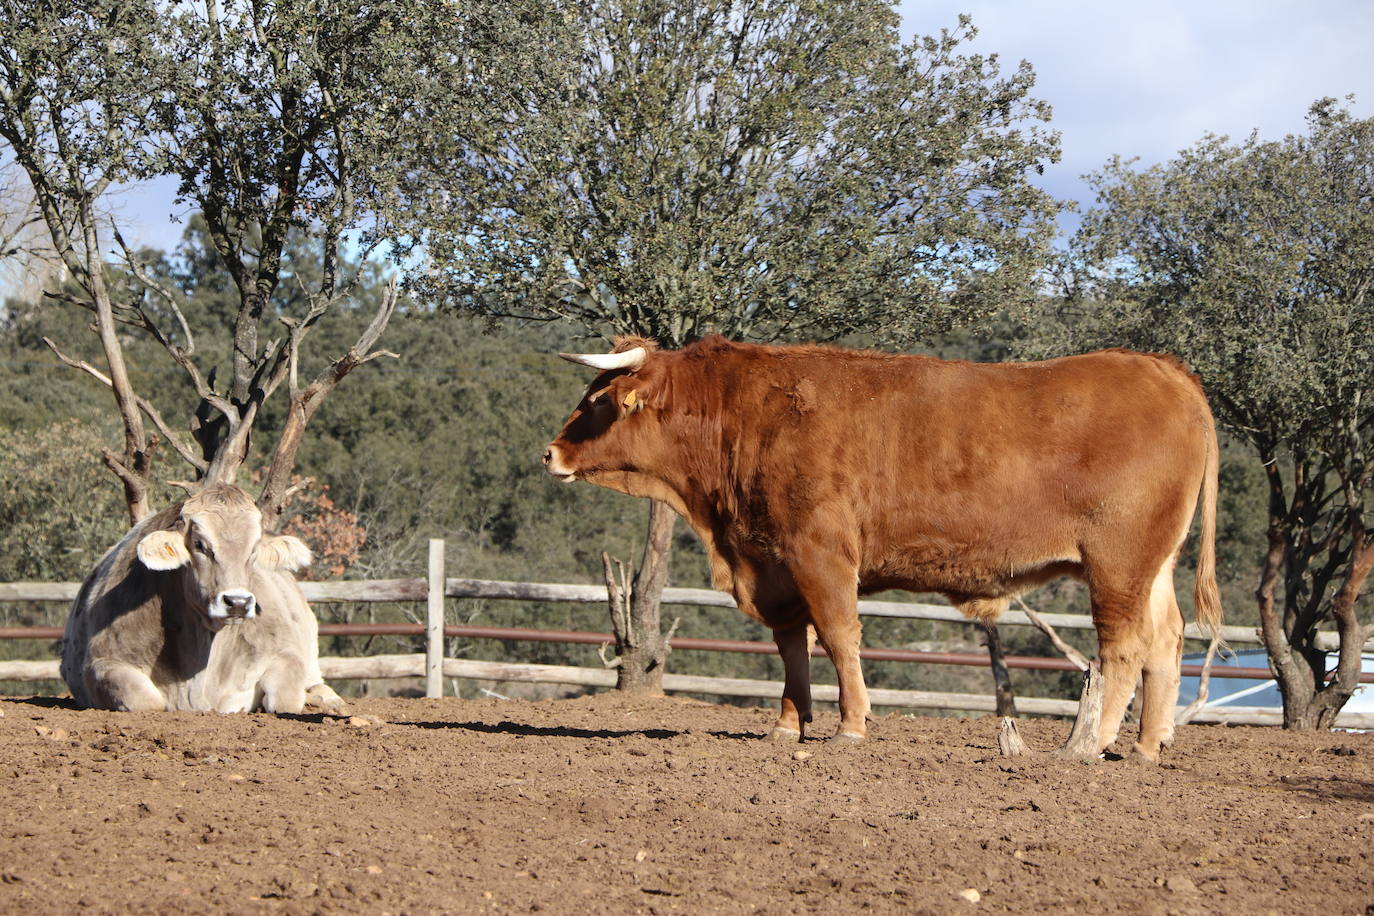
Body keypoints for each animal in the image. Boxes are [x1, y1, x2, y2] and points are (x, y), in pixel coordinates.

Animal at [61, 483, 346, 714]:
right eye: (199, 544)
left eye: (254, 548)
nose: (238, 602)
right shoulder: (101, 663)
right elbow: (146, 700)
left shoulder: (284, 652)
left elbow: (285, 699)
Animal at [541, 336, 1220, 758]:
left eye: (597, 402)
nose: (549, 453)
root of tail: (1162, 367)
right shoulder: (774, 564)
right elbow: (793, 647)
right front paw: (787, 727)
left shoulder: (819, 553)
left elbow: (839, 637)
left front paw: (852, 726)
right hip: (1155, 565)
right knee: (1167, 639)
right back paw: (1146, 747)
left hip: (1118, 563)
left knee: (1124, 647)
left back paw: (1090, 745)